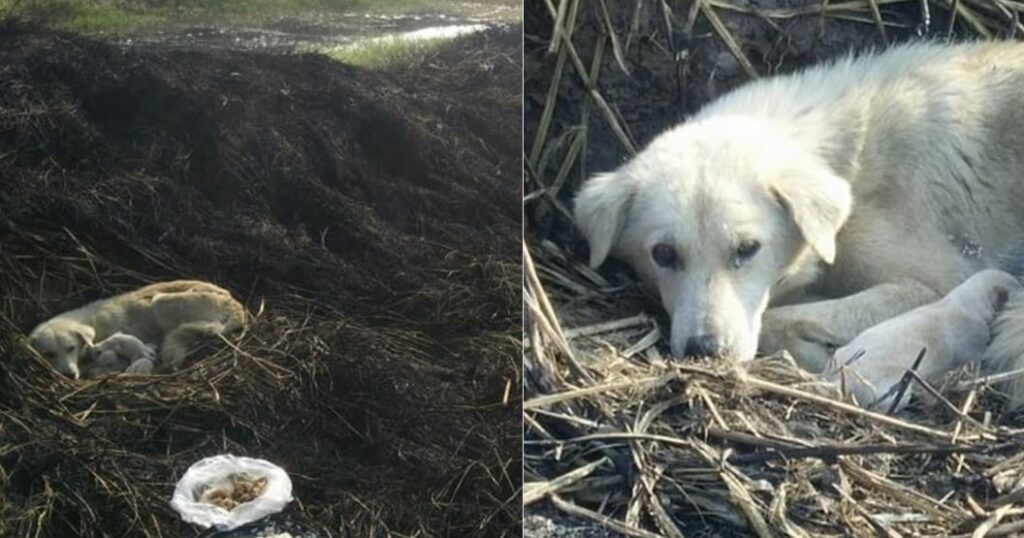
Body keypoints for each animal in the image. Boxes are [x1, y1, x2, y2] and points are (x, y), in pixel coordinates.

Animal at [27, 280, 246, 377]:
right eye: (48, 354)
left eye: (70, 348)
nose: (69, 375)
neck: (93, 322)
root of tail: (237, 306)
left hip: (160, 301)